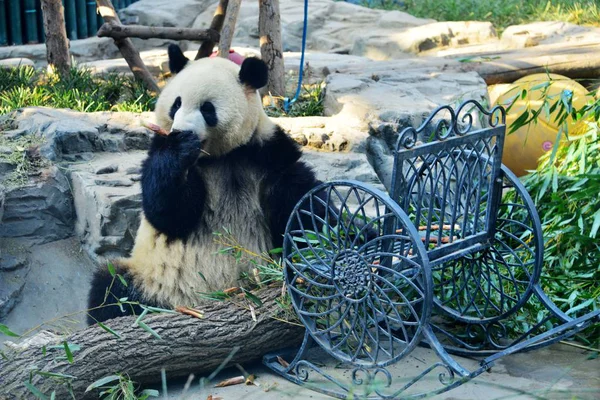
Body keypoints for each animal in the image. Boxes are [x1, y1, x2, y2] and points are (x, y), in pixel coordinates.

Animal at [86, 45, 322, 324]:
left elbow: (299, 209)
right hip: (150, 278)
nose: (181, 131)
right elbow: (169, 213)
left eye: (207, 109)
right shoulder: (171, 157)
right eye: (176, 104)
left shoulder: (266, 155)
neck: (219, 157)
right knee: (109, 289)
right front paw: (178, 147)